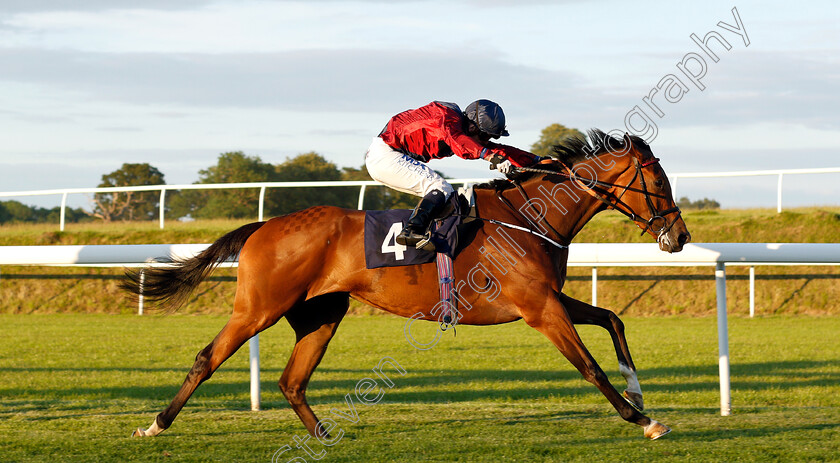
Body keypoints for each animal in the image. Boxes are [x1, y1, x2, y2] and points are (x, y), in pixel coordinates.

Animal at [124, 130, 688, 442]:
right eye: (658, 182)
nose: (679, 236)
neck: (529, 216)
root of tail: (265, 225)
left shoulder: (549, 297)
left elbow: (612, 319)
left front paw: (639, 393)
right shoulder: (538, 308)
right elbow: (589, 366)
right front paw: (640, 418)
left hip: (322, 314)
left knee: (292, 380)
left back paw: (323, 434)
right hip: (257, 308)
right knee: (207, 358)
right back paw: (155, 425)